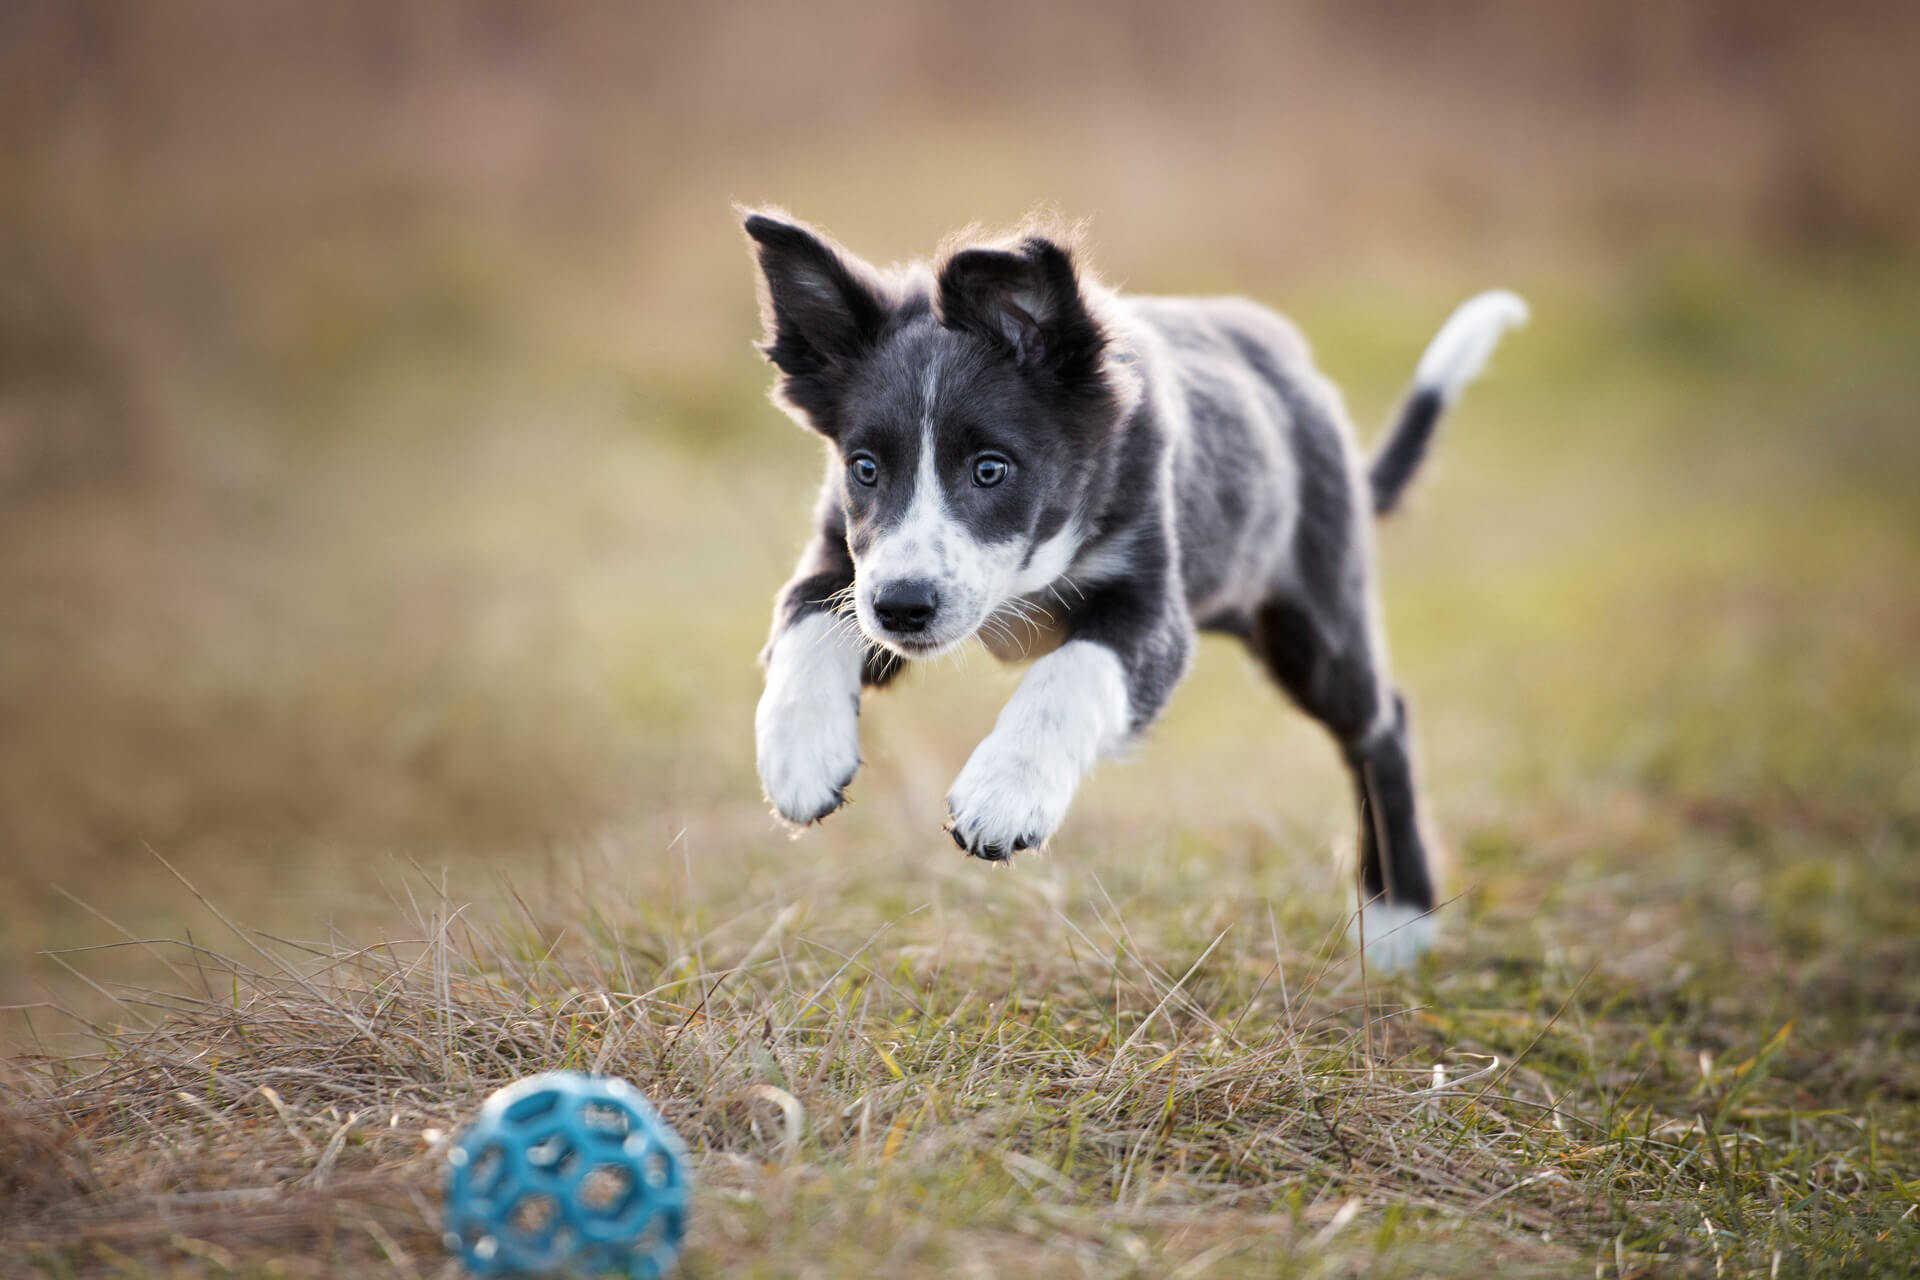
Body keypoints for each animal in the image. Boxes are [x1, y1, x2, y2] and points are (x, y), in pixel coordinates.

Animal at [741, 213, 1520, 971]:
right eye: (865, 467)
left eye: (991, 468)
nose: (903, 607)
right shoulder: (848, 567)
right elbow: (804, 619)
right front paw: (800, 754)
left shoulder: (1152, 613)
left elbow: (1069, 674)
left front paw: (1006, 791)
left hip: (1314, 624)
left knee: (1383, 727)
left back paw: (1398, 919)